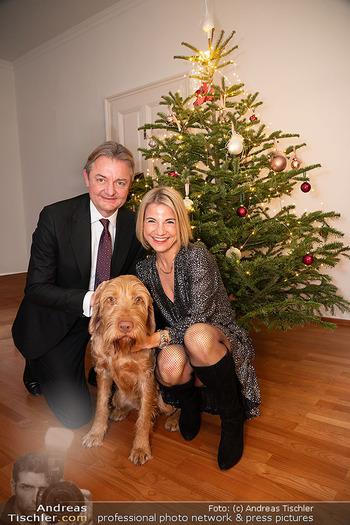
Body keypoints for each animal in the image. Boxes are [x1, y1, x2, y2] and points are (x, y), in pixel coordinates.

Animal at [82, 274, 179, 462]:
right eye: (111, 299)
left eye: (138, 299)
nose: (125, 326)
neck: (122, 348)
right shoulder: (102, 373)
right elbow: (101, 406)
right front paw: (95, 433)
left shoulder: (146, 377)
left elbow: (144, 417)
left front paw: (141, 447)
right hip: (118, 396)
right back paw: (120, 411)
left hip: (164, 400)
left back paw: (174, 420)